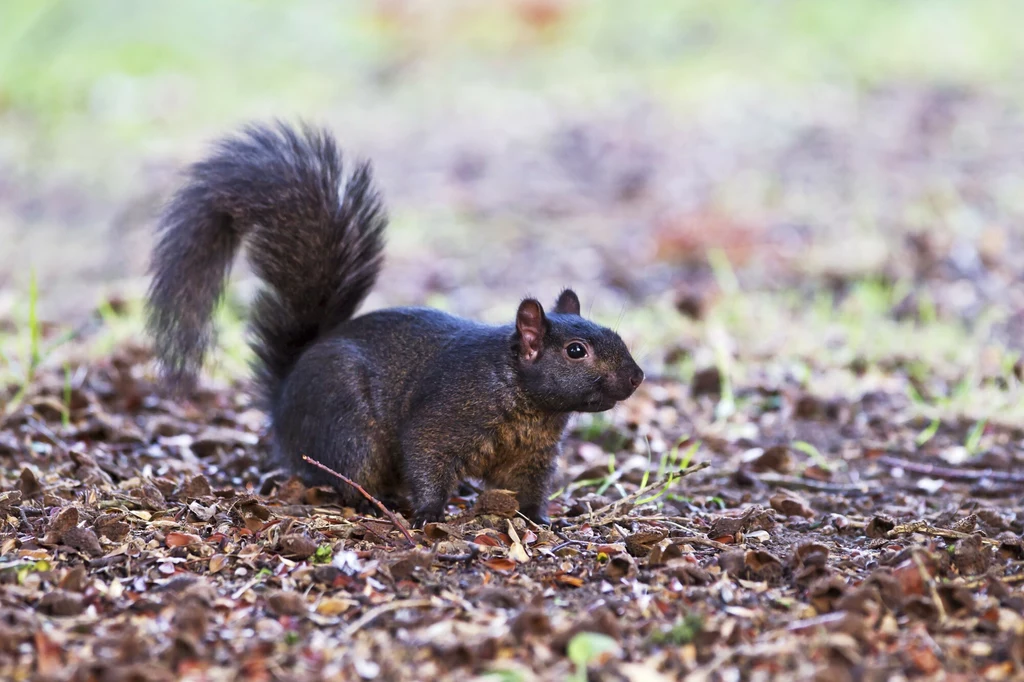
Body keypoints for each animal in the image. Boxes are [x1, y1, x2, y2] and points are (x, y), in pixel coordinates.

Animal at [146, 122, 638, 522]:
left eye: (617, 336)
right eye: (576, 351)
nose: (636, 377)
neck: (522, 397)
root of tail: (283, 404)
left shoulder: (533, 455)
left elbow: (529, 488)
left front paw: (539, 519)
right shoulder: (443, 419)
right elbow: (425, 454)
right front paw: (429, 513)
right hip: (348, 425)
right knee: (347, 473)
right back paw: (372, 501)